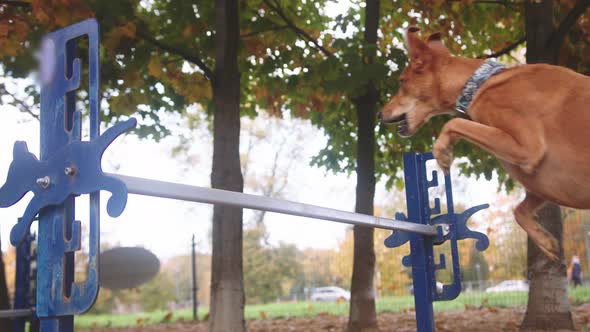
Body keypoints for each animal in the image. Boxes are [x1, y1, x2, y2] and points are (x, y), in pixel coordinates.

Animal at [380, 27, 590, 262]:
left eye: (401, 81)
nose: (380, 114)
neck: (478, 85)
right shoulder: (542, 186)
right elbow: (519, 211)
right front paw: (545, 241)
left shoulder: (528, 147)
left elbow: (455, 122)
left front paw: (443, 153)